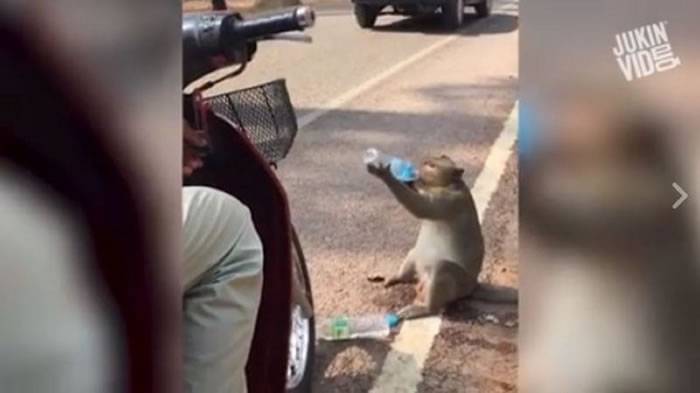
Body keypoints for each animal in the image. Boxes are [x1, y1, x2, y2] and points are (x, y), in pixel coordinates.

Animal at [366, 153, 516, 318]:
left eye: (433, 166)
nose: (424, 162)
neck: (448, 185)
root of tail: (473, 285)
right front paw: (410, 181)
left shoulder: (450, 201)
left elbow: (421, 206)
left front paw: (385, 174)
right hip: (421, 260)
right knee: (414, 253)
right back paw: (397, 277)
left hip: (458, 282)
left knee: (441, 271)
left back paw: (423, 308)